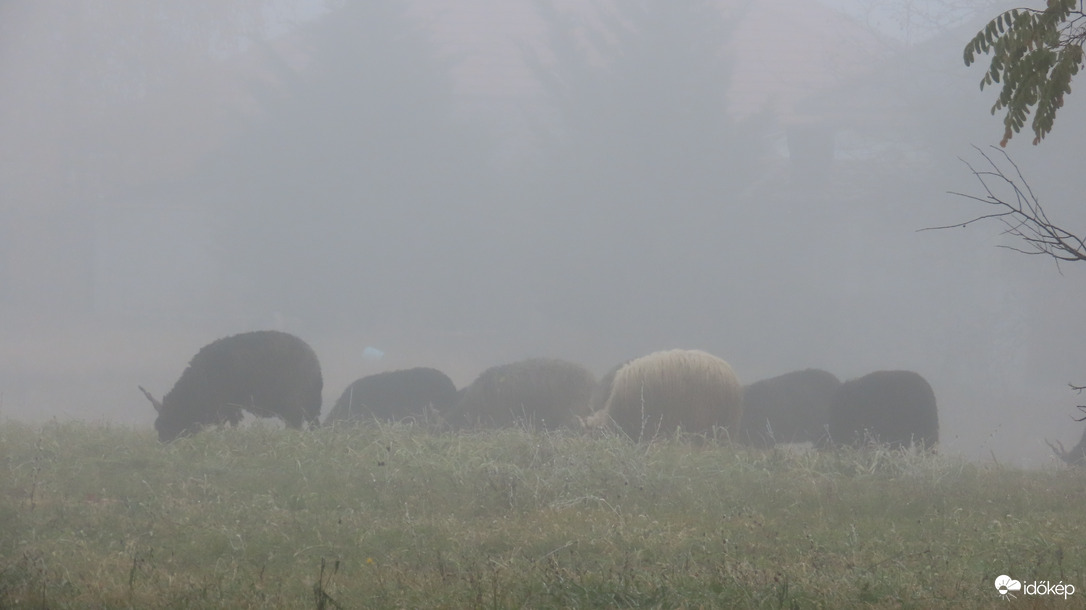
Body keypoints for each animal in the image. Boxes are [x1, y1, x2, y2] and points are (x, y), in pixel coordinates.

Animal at [139, 329, 321, 438]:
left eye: (167, 421)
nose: (163, 442)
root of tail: (314, 360)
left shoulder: (228, 405)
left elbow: (228, 424)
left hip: (295, 404)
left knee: (297, 425)